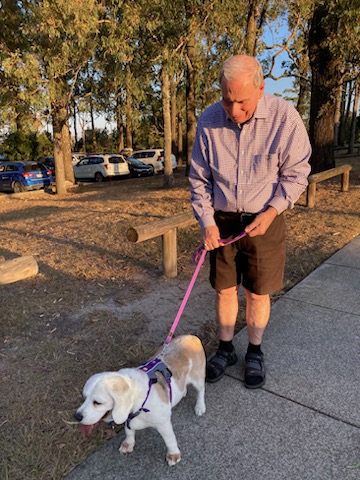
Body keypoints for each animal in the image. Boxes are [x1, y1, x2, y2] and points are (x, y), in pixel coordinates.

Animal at [75, 334, 205, 464]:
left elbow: (169, 440)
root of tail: (190, 336)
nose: (77, 417)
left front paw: (173, 455)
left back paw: (200, 407)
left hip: (198, 379)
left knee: (201, 391)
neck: (141, 403)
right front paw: (128, 443)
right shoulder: (127, 420)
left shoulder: (163, 424)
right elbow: (128, 432)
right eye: (84, 397)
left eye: (97, 403)